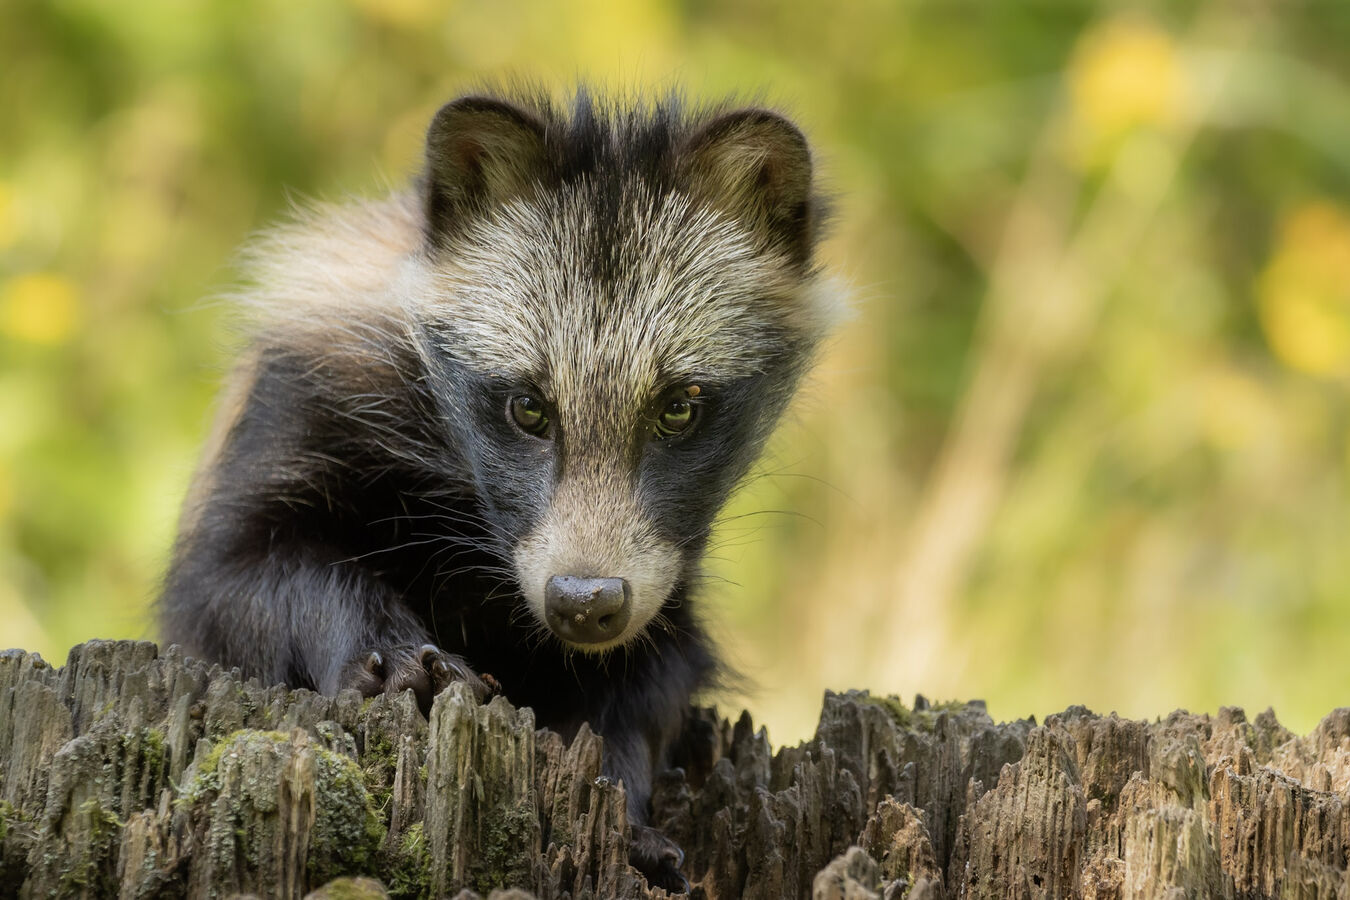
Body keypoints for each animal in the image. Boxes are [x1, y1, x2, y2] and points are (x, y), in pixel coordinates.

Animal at [163, 87, 837, 890]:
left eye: (679, 407)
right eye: (528, 407)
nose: (584, 604)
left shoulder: (665, 561)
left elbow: (662, 663)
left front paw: (616, 772)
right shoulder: (300, 392)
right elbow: (235, 578)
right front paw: (379, 638)